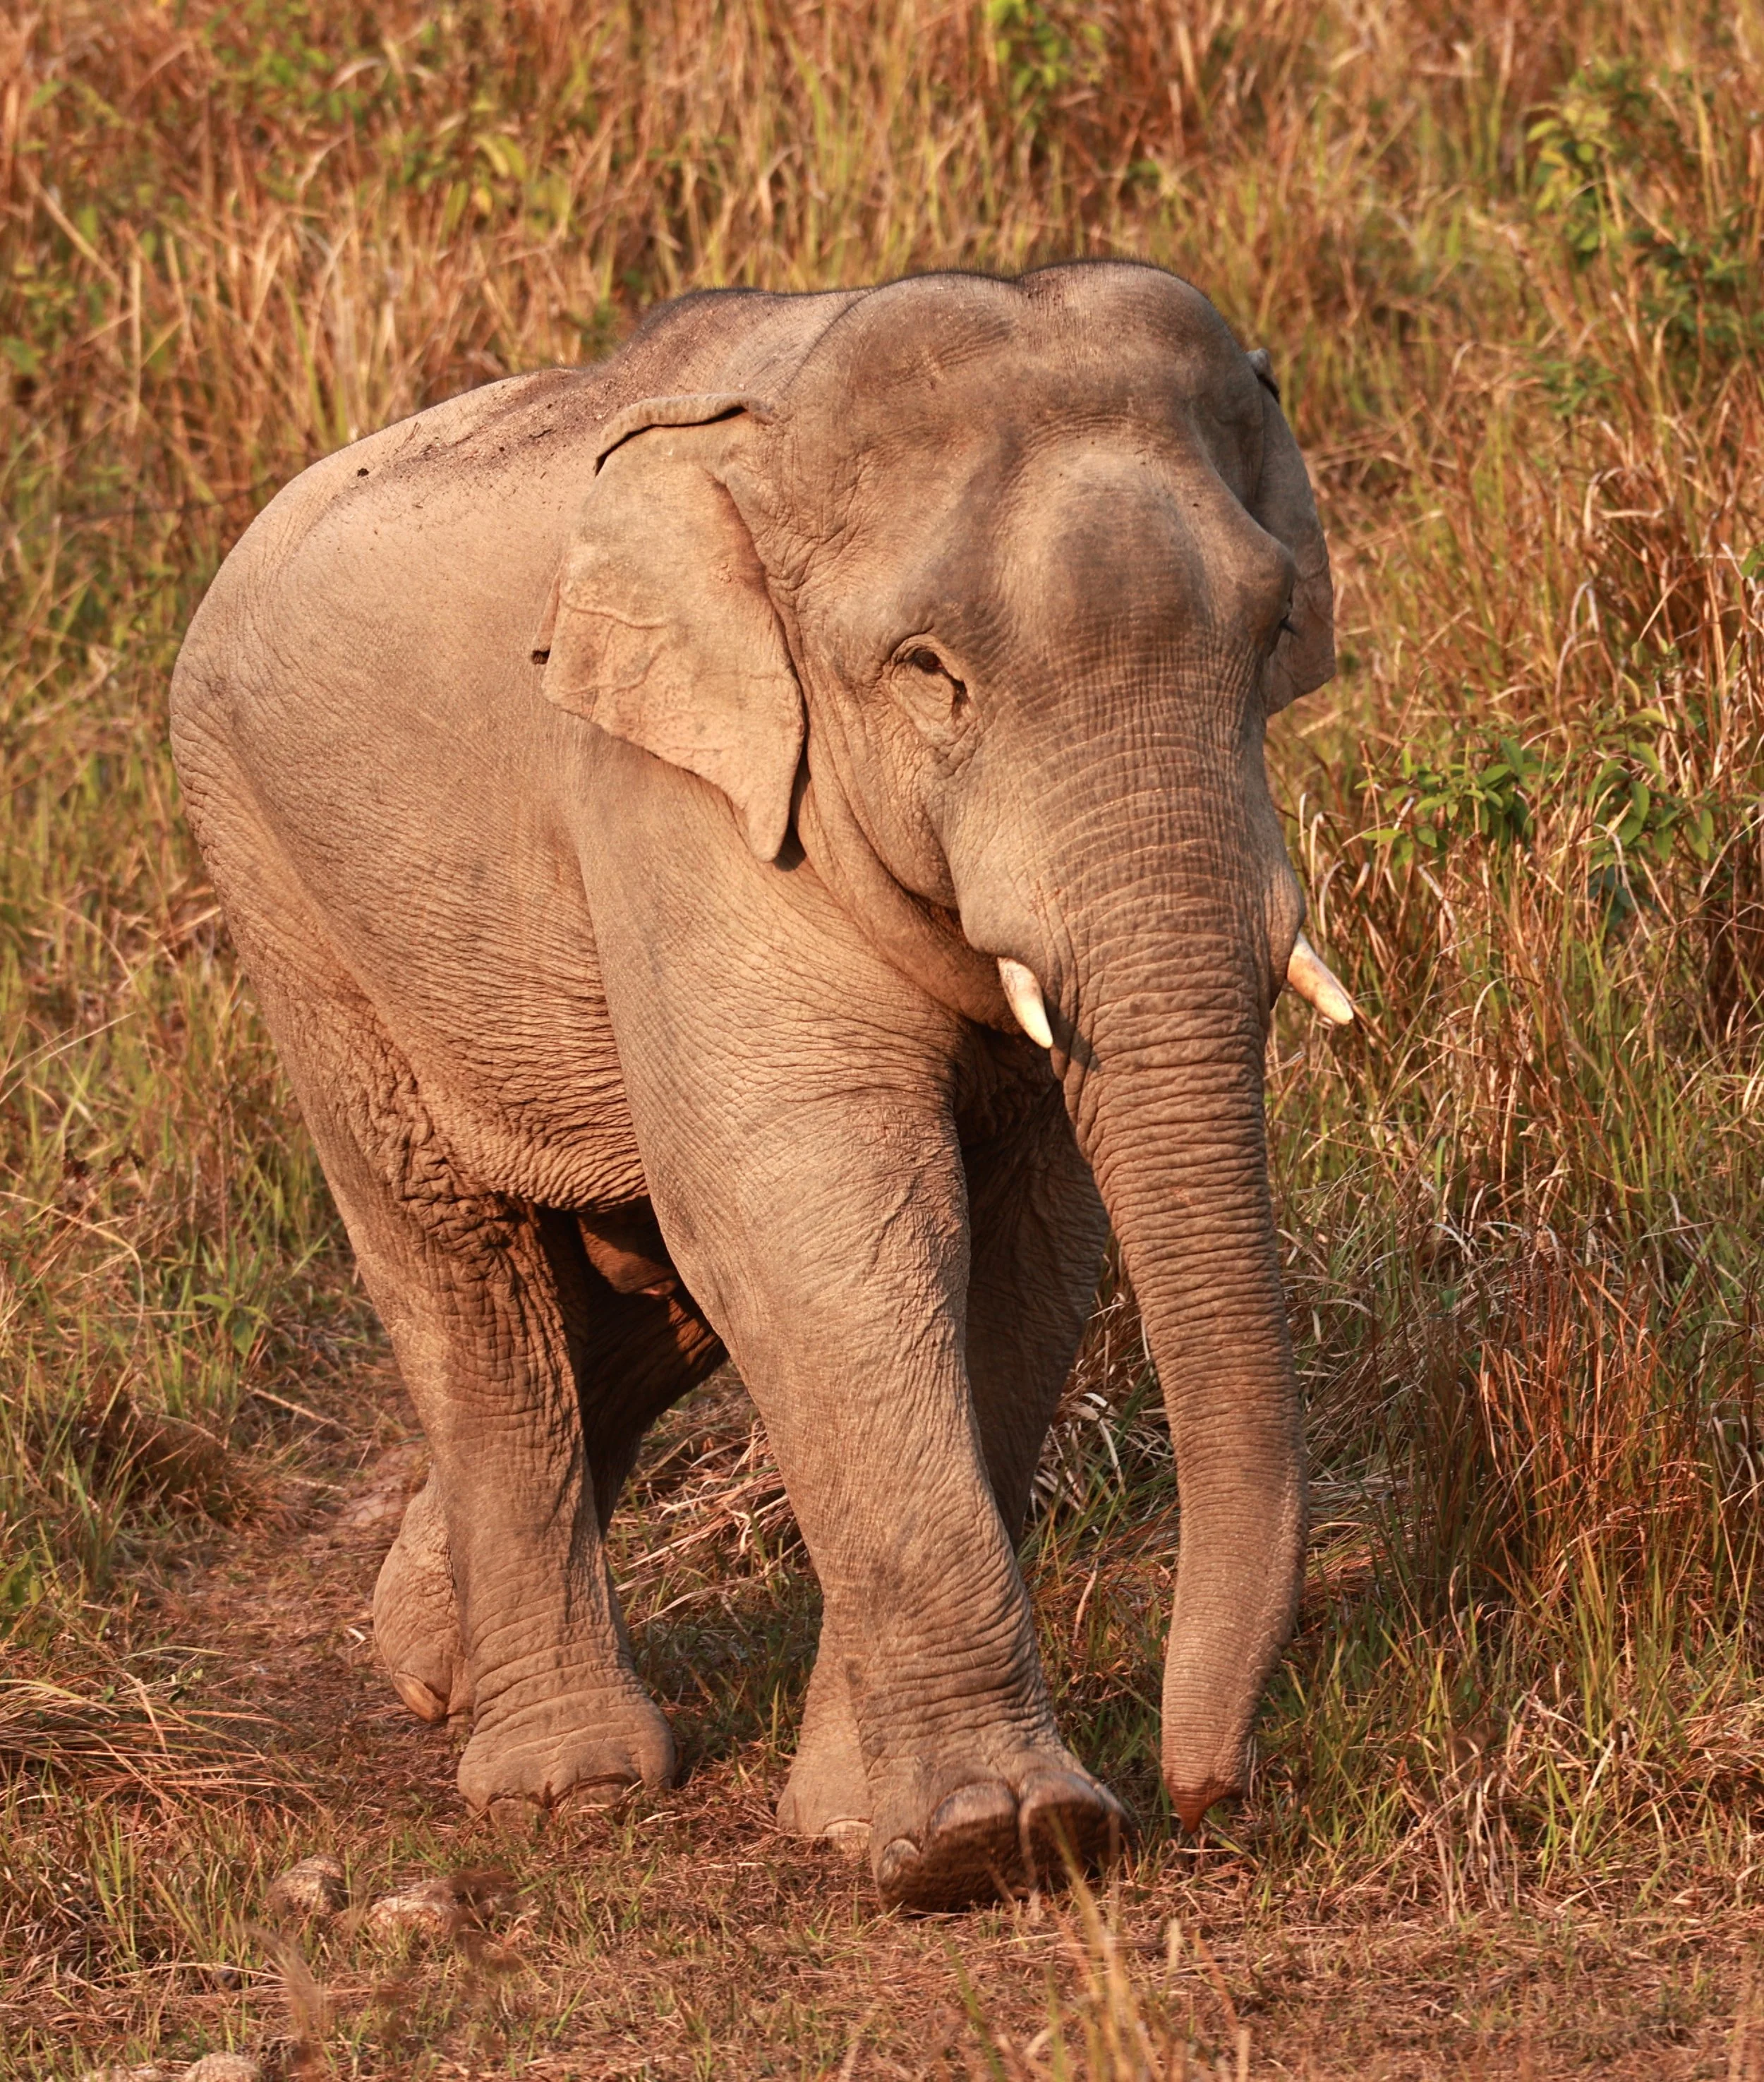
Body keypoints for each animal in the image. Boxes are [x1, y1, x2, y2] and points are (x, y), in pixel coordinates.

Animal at [169, 260, 1351, 1911]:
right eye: (931, 675)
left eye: (1270, 632)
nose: (1209, 1793)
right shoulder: (682, 793)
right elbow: (823, 1210)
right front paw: (998, 1839)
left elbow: (1026, 1241)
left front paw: (863, 1823)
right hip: (282, 881)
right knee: (465, 1275)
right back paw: (563, 1782)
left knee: (648, 1282)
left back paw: (425, 1664)